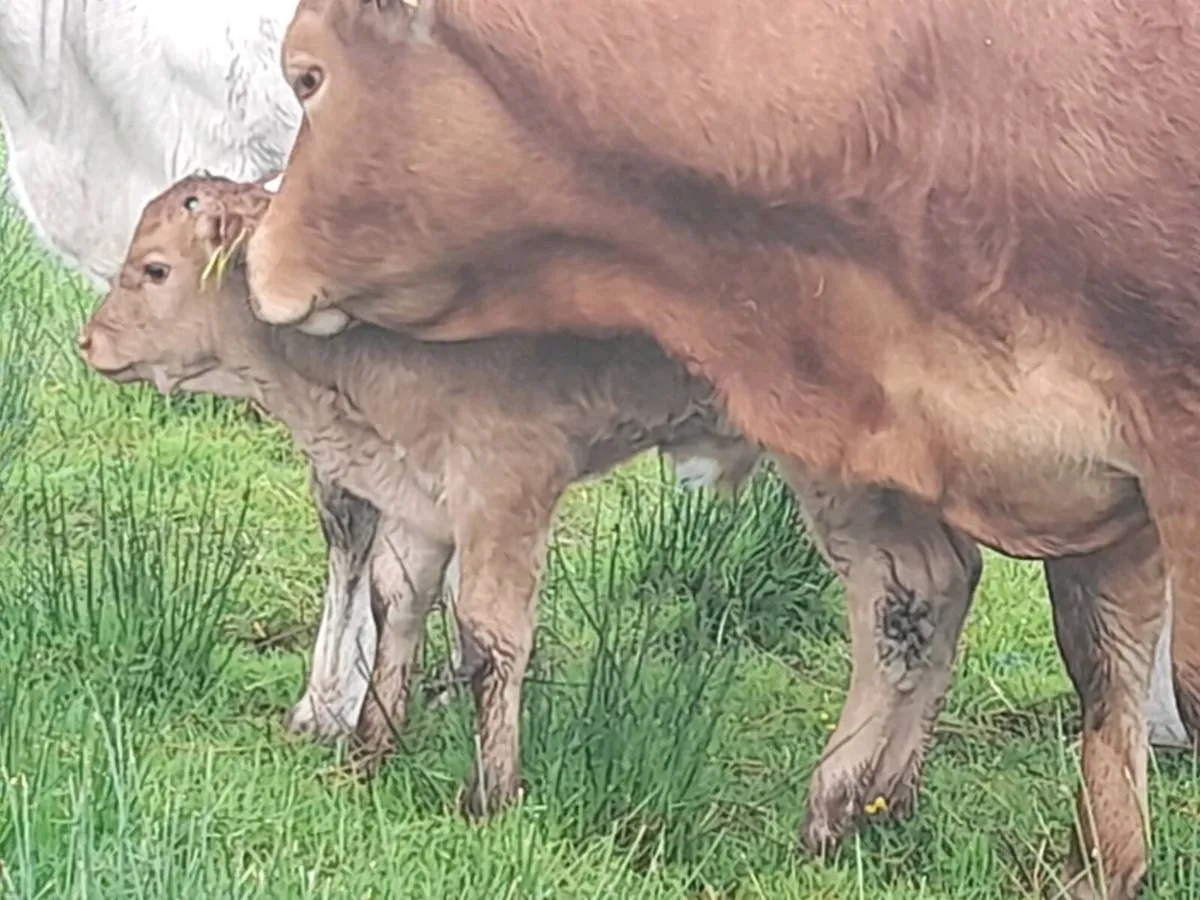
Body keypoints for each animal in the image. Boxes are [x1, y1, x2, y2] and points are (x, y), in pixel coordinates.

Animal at [242, 0, 1200, 895]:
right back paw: (852, 802)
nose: (255, 256)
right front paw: (1103, 869)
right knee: (911, 589)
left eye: (307, 77)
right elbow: (1101, 665)